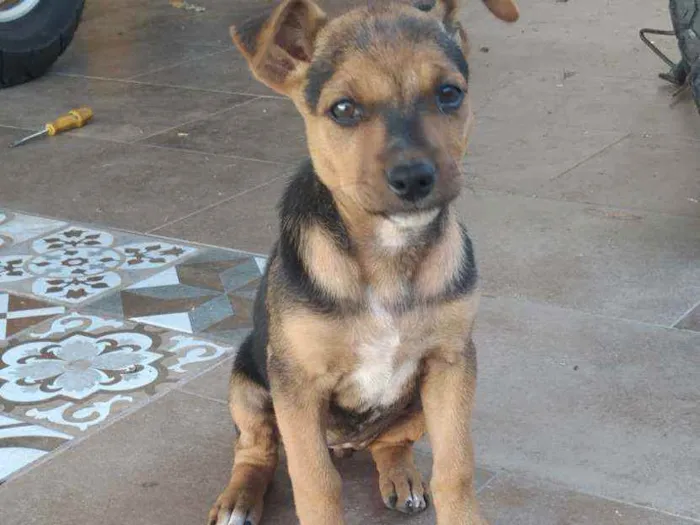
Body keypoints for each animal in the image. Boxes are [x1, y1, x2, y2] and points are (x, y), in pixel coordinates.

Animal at [211, 1, 516, 524]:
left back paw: (401, 475)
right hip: (248, 383)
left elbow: (456, 469)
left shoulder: (452, 362)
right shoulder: (297, 384)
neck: (389, 254)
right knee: (256, 450)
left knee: (389, 444)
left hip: (415, 405)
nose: (414, 178)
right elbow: (315, 484)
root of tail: (347, 443)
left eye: (449, 94)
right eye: (343, 109)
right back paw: (239, 498)